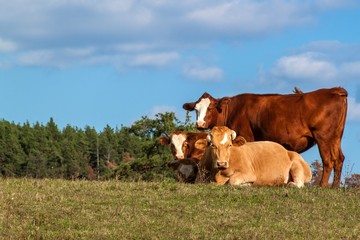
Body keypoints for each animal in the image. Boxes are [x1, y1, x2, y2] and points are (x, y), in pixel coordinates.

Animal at [184, 87, 348, 188]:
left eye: (211, 108)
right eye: (196, 109)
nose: (200, 123)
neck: (234, 109)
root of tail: (335, 90)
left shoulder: (247, 136)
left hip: (324, 137)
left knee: (328, 160)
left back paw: (322, 186)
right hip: (336, 137)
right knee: (339, 159)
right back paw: (335, 186)